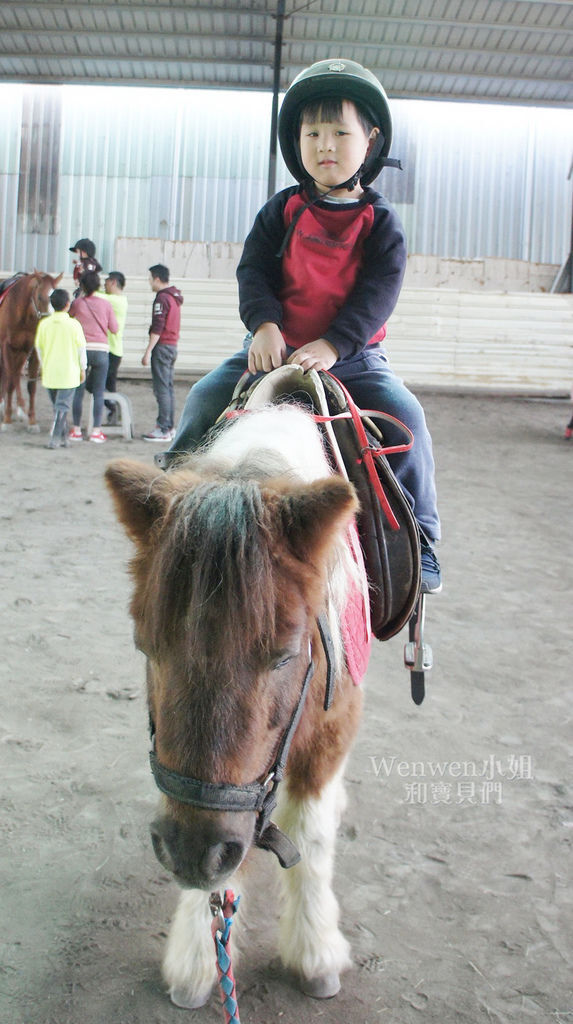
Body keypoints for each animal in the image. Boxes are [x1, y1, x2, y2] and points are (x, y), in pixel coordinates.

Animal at [0, 268, 62, 428]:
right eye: (40, 297)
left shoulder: (32, 350)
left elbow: (31, 386)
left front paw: (31, 421)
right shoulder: (7, 347)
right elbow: (11, 379)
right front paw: (9, 417)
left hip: (21, 352)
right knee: (9, 375)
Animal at [104, 399, 368, 1007]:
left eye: (284, 656)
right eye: (146, 646)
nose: (189, 850)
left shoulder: (335, 724)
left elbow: (312, 828)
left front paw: (316, 951)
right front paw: (198, 957)